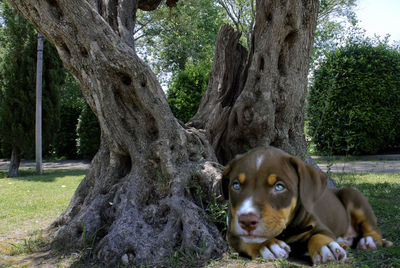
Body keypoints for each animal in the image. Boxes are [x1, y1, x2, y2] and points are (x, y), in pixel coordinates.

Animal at [222, 147, 394, 264]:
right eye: (236, 185)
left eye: (279, 187)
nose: (246, 221)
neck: (287, 231)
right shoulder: (232, 232)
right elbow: (247, 239)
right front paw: (268, 245)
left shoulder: (318, 224)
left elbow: (319, 234)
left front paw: (326, 246)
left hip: (353, 195)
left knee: (373, 228)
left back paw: (369, 241)